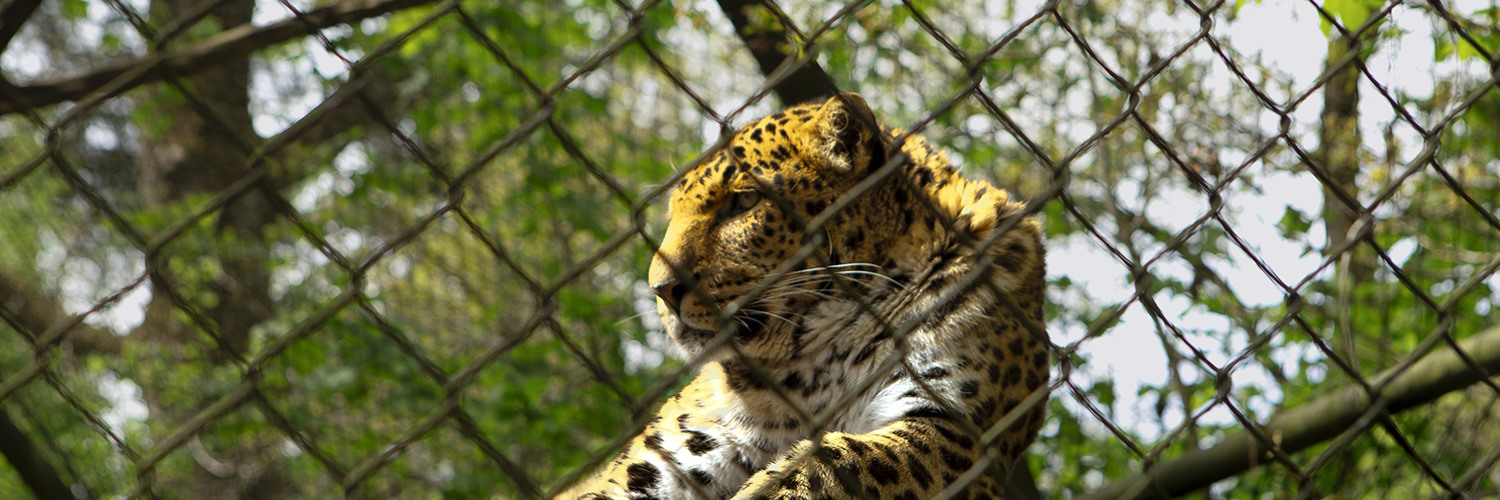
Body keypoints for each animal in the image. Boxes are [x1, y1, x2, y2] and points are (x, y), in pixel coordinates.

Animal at [560, 93, 1049, 499]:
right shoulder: (682, 452)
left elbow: (841, 459)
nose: (661, 289)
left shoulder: (956, 428)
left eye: (744, 202)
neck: (812, 360)